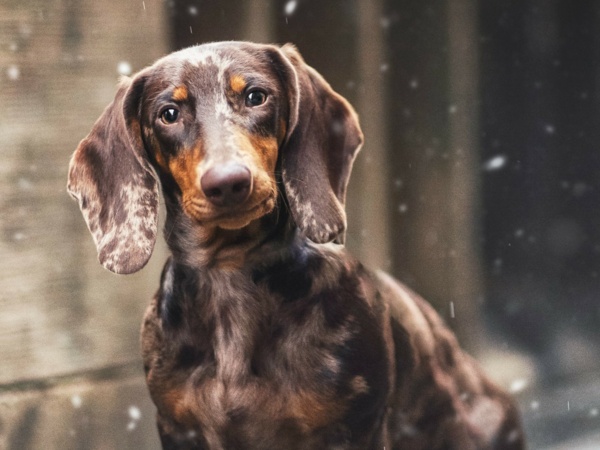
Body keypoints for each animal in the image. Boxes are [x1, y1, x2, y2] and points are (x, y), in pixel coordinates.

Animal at [68, 40, 524, 448]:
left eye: (256, 96)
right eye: (169, 114)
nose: (228, 182)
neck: (231, 270)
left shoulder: (356, 427)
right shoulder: (178, 429)